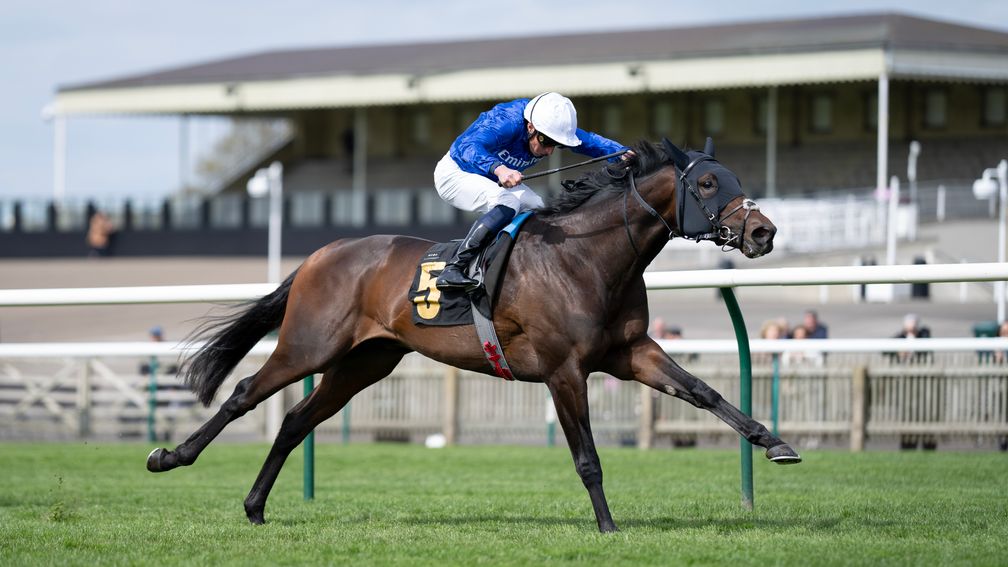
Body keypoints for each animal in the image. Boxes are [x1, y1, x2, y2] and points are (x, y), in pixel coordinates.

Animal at [146, 137, 801, 533]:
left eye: (732, 177)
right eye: (708, 184)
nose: (764, 232)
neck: (587, 257)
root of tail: (320, 254)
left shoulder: (631, 352)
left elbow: (704, 393)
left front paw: (775, 443)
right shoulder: (564, 369)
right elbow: (587, 456)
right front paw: (608, 525)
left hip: (364, 363)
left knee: (294, 421)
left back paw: (255, 507)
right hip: (309, 345)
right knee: (244, 395)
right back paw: (170, 457)